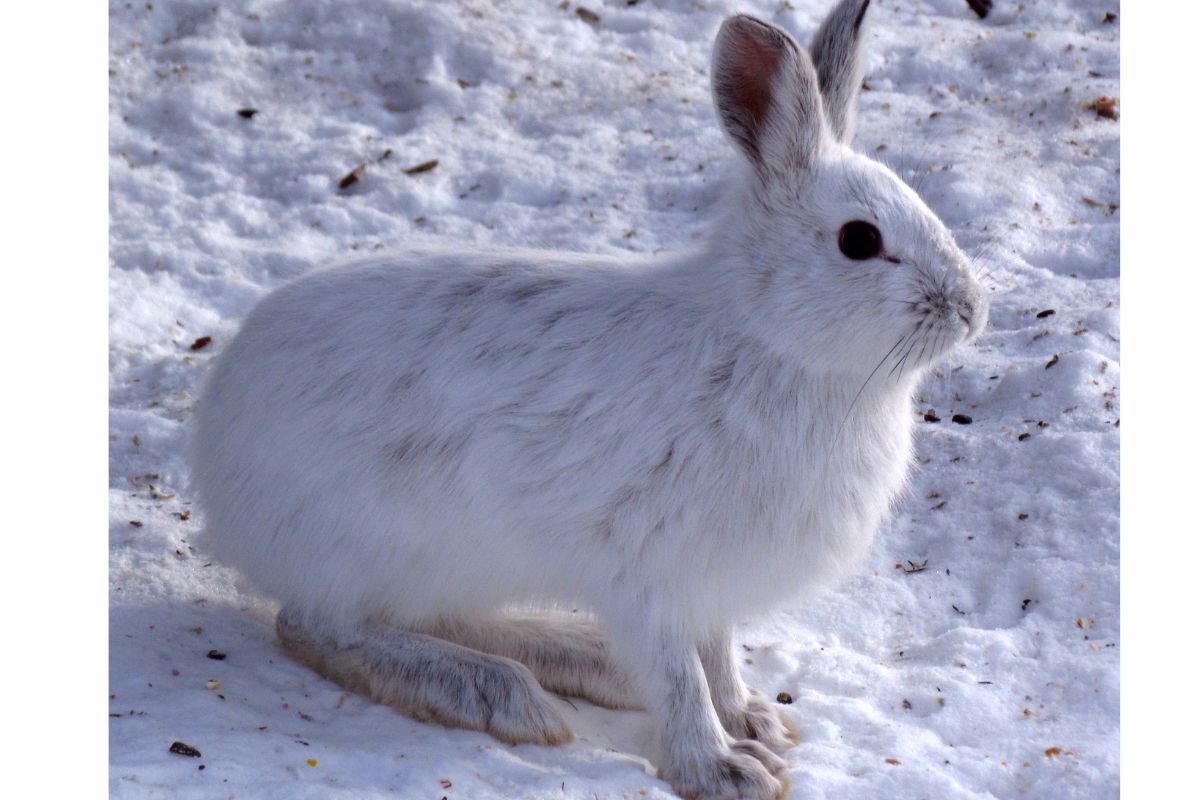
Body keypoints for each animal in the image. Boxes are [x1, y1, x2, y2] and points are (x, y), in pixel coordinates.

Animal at [191, 1, 987, 798]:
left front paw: (754, 720)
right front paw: (724, 769)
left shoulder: (709, 586)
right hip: (376, 542)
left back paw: (579, 661)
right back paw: (494, 692)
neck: (766, 340)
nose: (970, 309)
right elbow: (680, 676)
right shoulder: (648, 570)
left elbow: (718, 658)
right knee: (318, 626)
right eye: (859, 240)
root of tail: (217, 470)